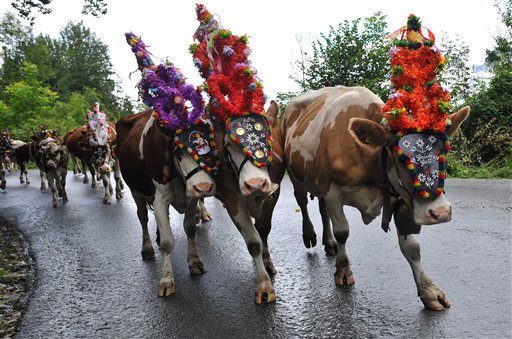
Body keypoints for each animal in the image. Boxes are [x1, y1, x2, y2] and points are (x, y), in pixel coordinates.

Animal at [116, 111, 218, 298]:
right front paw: (166, 279)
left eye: (212, 147)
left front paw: (194, 261)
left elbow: (190, 229)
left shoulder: (191, 198)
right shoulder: (160, 199)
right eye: (178, 151)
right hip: (135, 190)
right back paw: (147, 248)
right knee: (143, 217)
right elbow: (167, 241)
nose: (203, 187)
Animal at [258, 87, 470, 310]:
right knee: (303, 202)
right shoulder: (333, 193)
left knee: (322, 210)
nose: (440, 212)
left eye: (444, 151)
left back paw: (329, 242)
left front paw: (429, 290)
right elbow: (343, 231)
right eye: (401, 156)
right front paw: (343, 271)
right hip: (295, 175)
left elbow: (412, 247)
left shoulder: (396, 194)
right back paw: (310, 234)